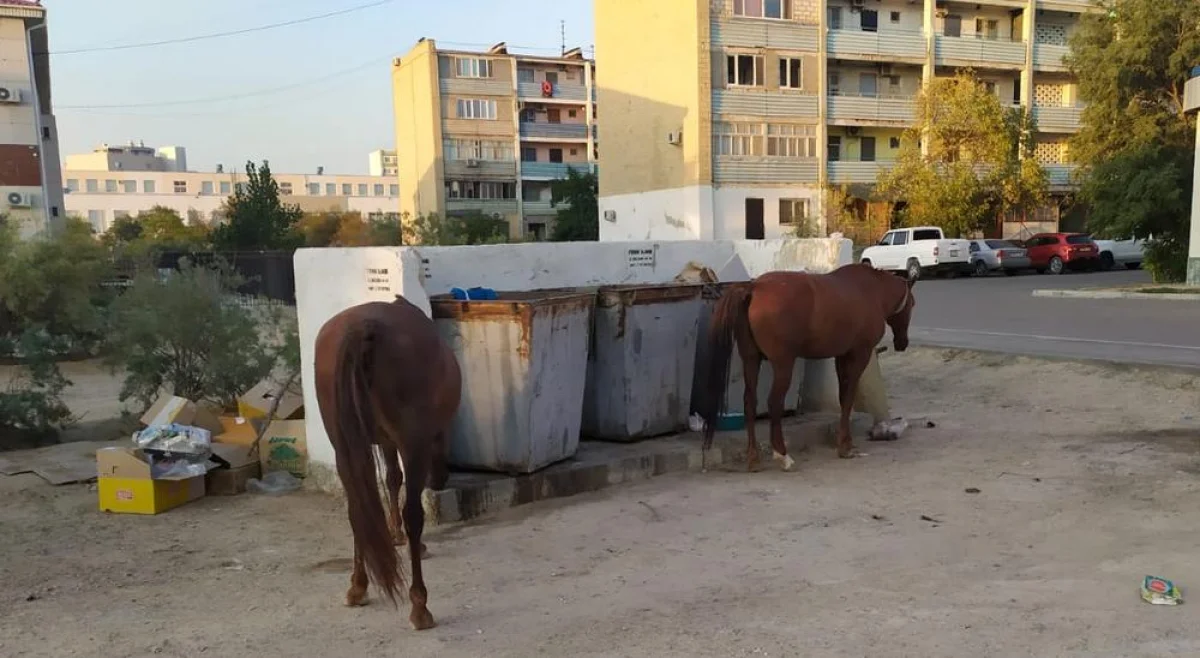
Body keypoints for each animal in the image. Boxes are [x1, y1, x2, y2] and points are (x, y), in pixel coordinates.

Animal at [312, 294, 460, 633]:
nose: (442, 478)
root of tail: (364, 326)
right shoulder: (408, 443)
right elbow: (401, 490)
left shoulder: (384, 443)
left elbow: (391, 479)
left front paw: (393, 536)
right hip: (411, 443)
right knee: (414, 514)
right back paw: (420, 606)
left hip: (344, 447)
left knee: (358, 508)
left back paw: (358, 586)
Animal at [696, 262, 916, 473]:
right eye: (913, 304)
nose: (902, 342)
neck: (870, 290)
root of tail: (754, 287)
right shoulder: (859, 355)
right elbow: (848, 398)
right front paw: (845, 447)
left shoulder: (841, 356)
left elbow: (843, 397)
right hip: (783, 364)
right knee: (774, 403)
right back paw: (782, 455)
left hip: (751, 359)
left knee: (750, 402)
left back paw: (754, 459)